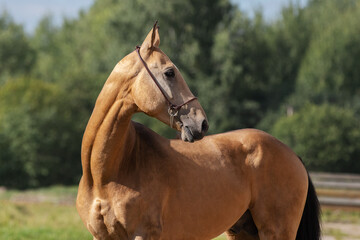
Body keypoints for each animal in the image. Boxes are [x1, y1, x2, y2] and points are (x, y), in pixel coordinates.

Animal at [76, 21, 320, 239]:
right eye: (170, 72)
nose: (201, 123)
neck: (106, 174)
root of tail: (293, 155)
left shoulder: (144, 234)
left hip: (277, 232)